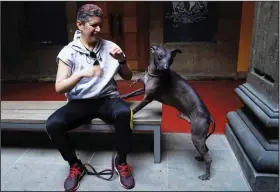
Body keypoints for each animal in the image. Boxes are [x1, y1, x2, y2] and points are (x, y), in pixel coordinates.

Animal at [121, 45, 215, 181]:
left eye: (171, 59)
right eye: (160, 56)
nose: (165, 68)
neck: (154, 73)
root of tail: (208, 115)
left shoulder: (148, 98)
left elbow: (136, 108)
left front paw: (130, 113)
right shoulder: (143, 90)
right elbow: (129, 94)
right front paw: (120, 96)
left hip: (197, 137)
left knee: (209, 158)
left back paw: (206, 175)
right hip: (201, 139)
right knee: (206, 150)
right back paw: (200, 158)